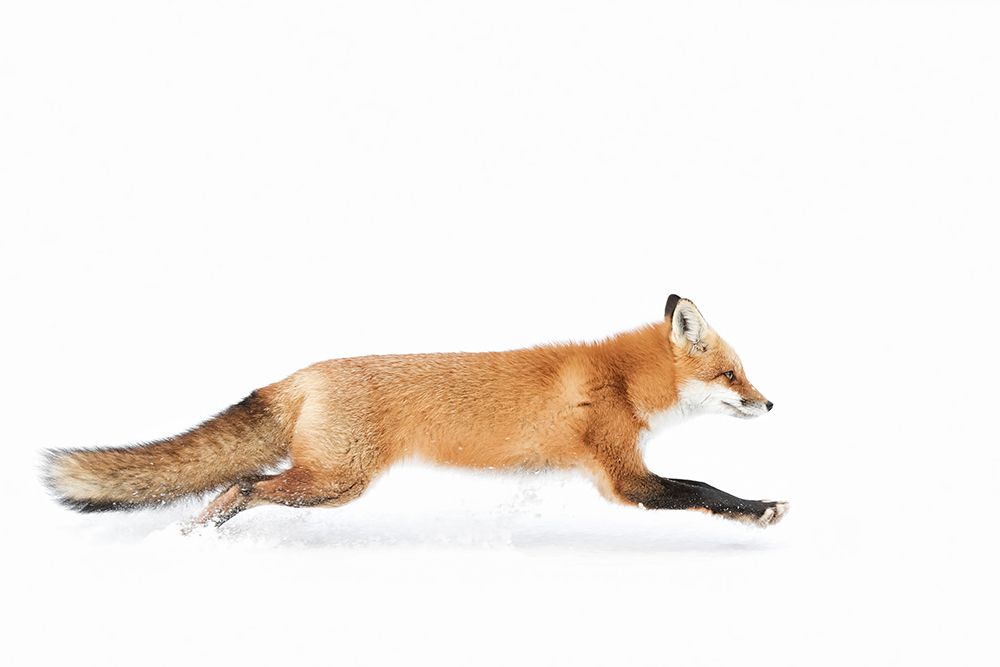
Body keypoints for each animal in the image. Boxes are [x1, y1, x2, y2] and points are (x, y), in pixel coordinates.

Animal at [43, 295, 788, 530]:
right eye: (731, 374)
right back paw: (198, 536)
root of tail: (302, 374)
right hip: (334, 482)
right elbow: (702, 488)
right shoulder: (624, 478)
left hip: (331, 486)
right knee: (241, 486)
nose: (770, 402)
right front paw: (762, 509)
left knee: (241, 485)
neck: (621, 380)